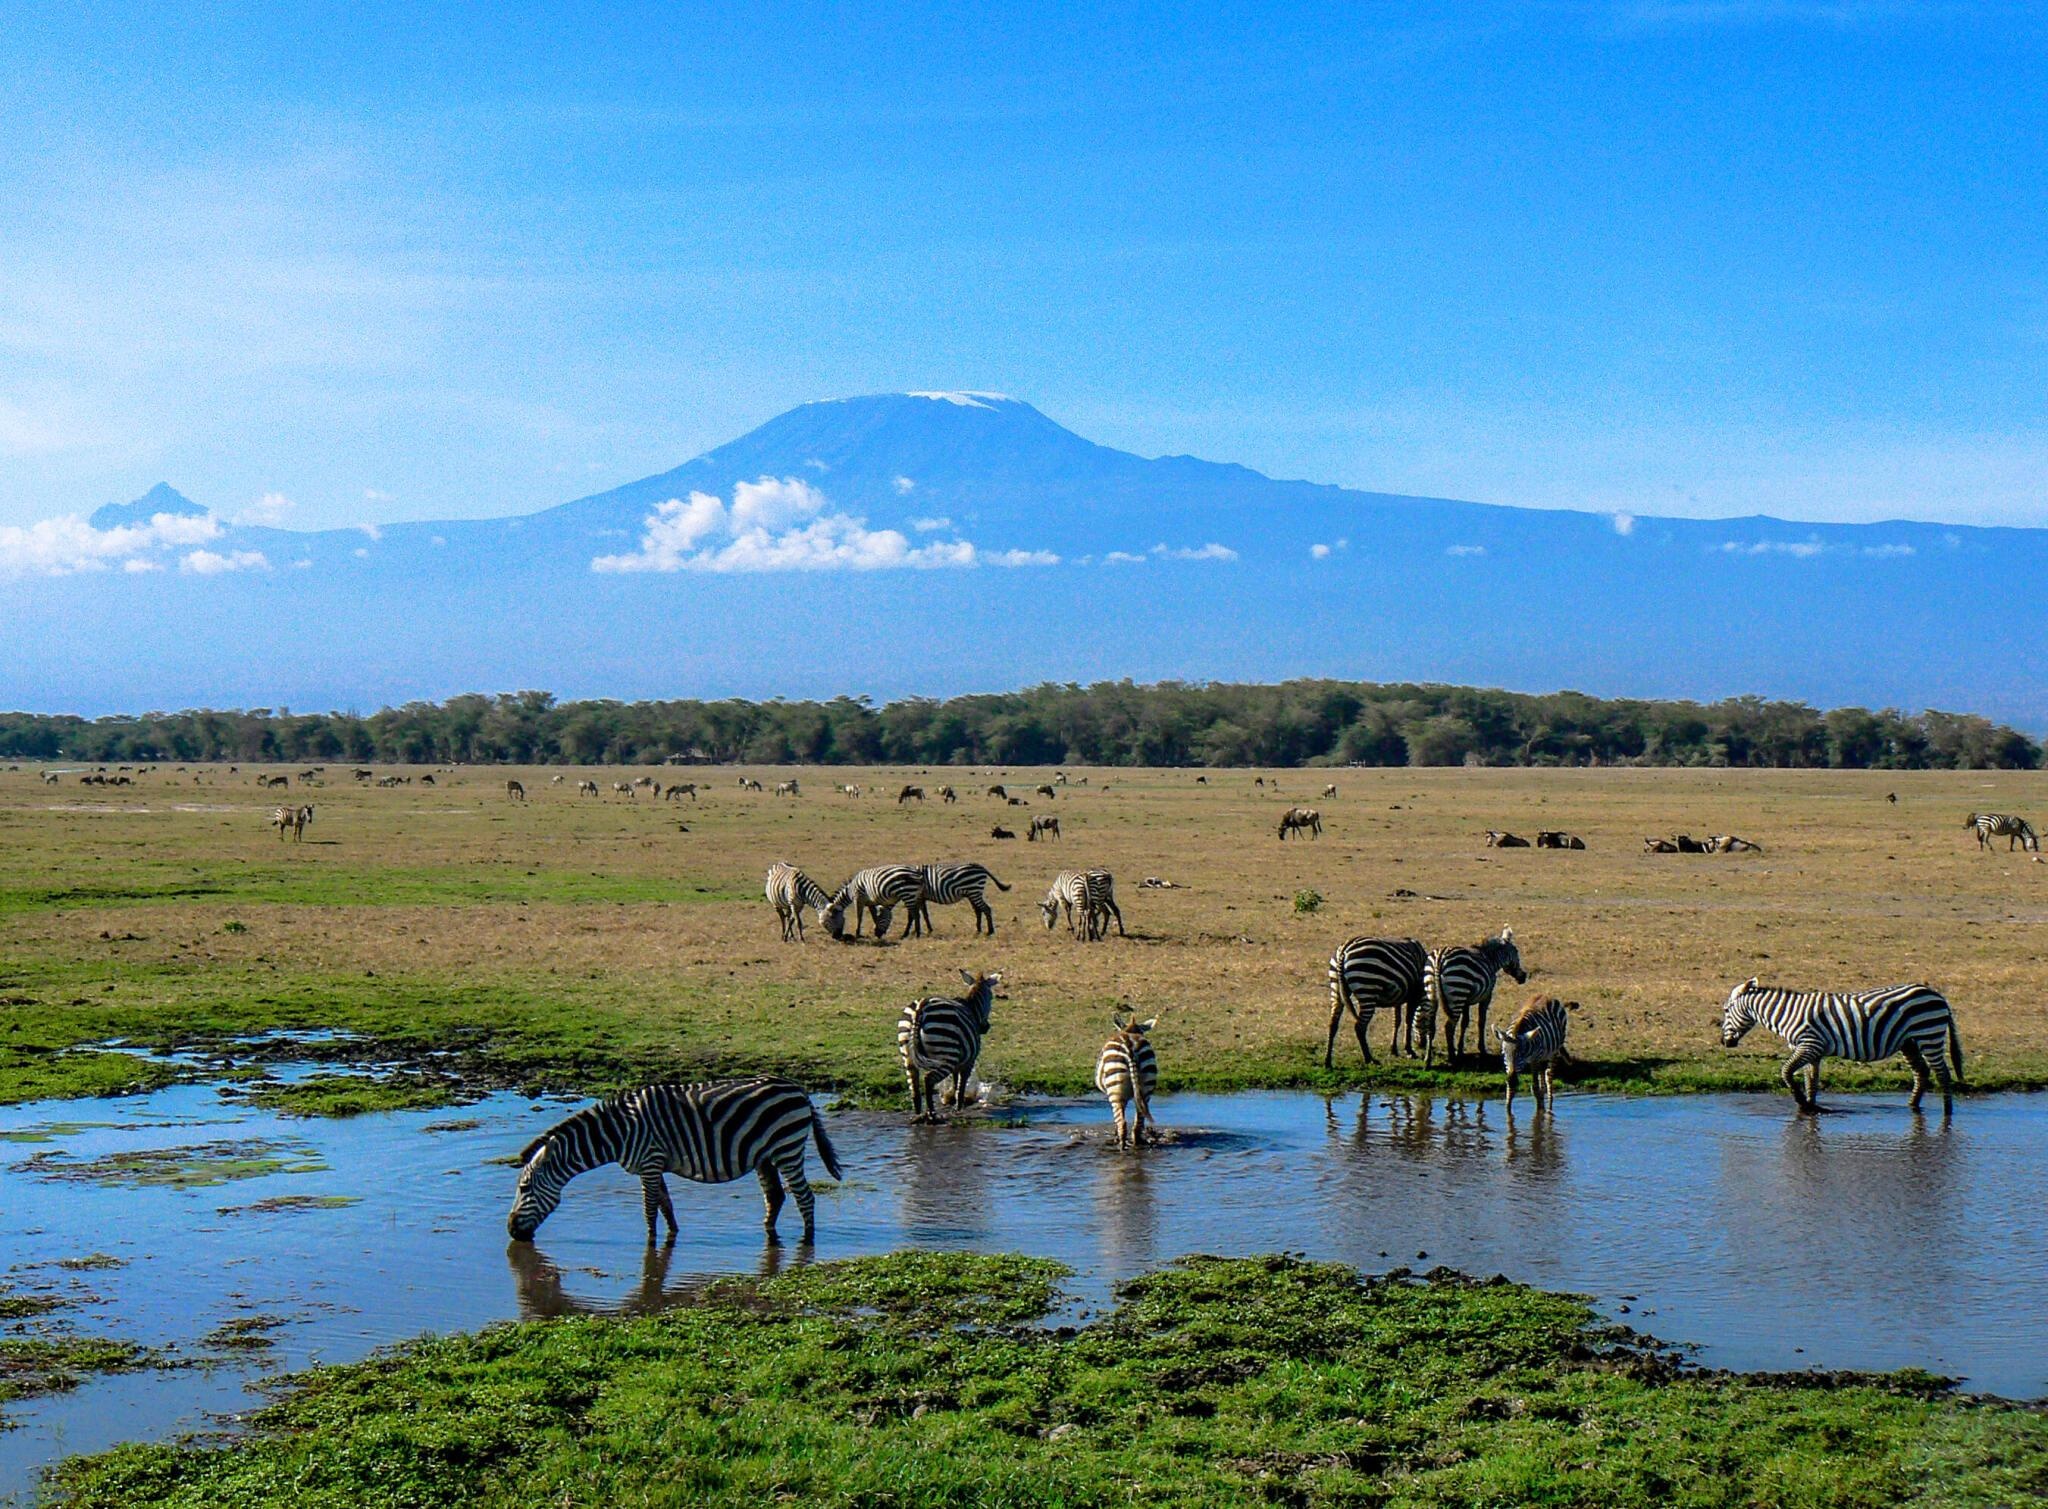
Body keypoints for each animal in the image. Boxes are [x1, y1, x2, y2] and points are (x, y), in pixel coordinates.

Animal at [507, 1081, 843, 1244]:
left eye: (524, 1188)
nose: (510, 1231)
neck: (618, 1131)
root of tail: (798, 1088)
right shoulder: (654, 1165)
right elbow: (666, 1205)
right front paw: (673, 1236)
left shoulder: (650, 1162)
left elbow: (649, 1208)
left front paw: (650, 1243)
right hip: (766, 1154)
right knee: (775, 1196)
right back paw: (768, 1233)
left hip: (788, 1147)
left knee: (804, 1197)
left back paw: (807, 1240)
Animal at [897, 966, 999, 1122]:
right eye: (992, 998)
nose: (985, 1028)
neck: (972, 1008)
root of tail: (920, 1008)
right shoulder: (968, 1061)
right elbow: (961, 1086)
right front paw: (958, 1109)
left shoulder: (957, 1061)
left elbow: (955, 1081)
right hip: (946, 1055)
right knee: (928, 1079)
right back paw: (931, 1115)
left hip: (908, 1054)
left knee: (914, 1087)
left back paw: (918, 1115)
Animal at [1417, 925, 1531, 1064]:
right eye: (1516, 952)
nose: (1523, 977)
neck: (1490, 959)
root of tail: (1439, 958)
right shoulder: (1486, 996)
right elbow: (1481, 1021)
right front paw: (1482, 1049)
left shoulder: (1466, 1000)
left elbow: (1464, 1023)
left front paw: (1461, 1050)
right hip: (1457, 992)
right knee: (1449, 1027)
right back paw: (1452, 1057)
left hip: (1432, 993)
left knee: (1431, 1025)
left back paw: (1428, 1060)